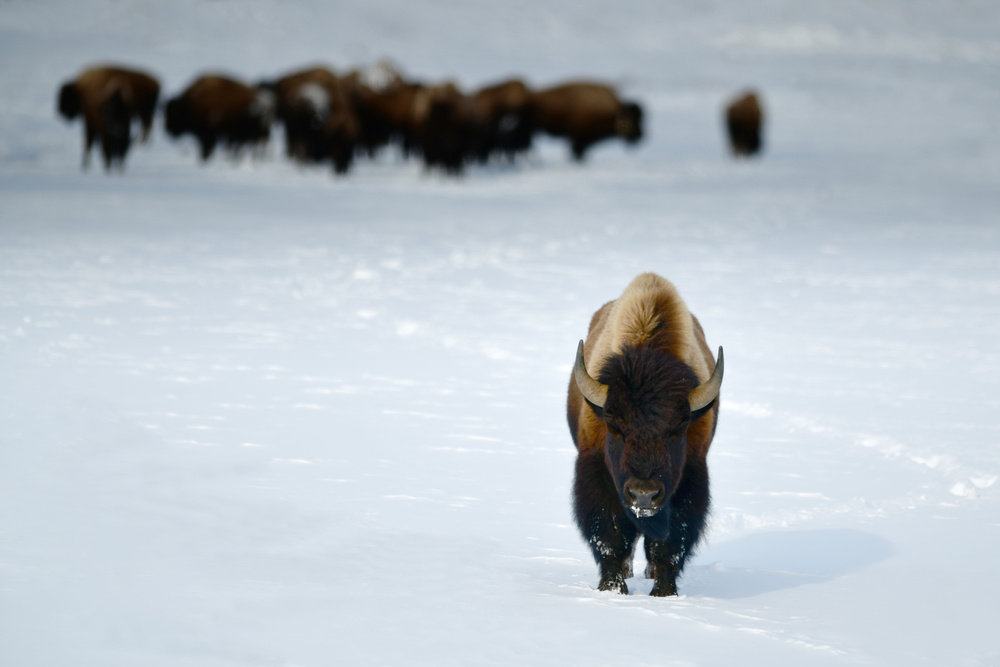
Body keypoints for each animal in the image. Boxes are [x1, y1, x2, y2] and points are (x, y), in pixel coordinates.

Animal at [568, 274, 724, 596]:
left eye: (678, 430)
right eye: (614, 428)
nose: (643, 495)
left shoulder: (689, 477)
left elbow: (669, 544)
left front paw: (664, 592)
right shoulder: (597, 473)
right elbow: (611, 537)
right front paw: (612, 588)